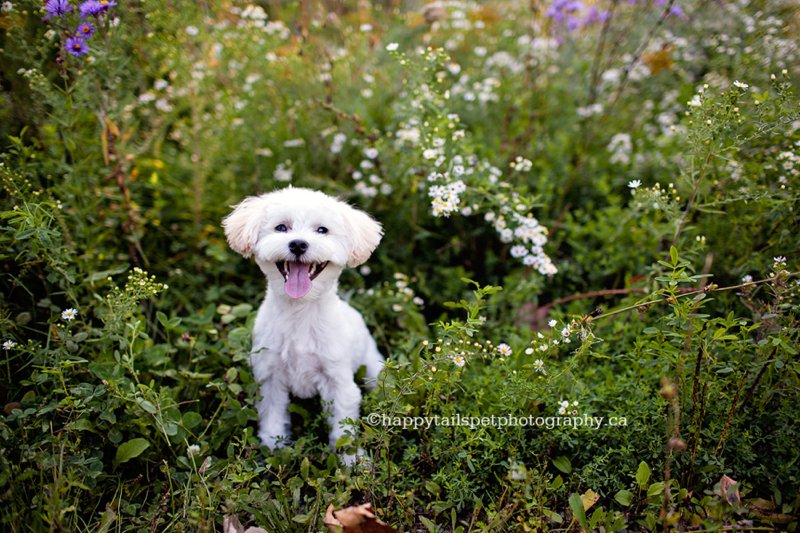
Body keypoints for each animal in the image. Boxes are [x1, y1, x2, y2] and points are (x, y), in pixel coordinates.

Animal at [223, 186, 386, 458]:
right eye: (281, 227)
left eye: (322, 230)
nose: (298, 244)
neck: (299, 311)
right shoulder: (270, 377)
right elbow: (272, 416)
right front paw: (273, 447)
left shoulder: (339, 382)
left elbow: (343, 428)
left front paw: (352, 459)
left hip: (372, 366)